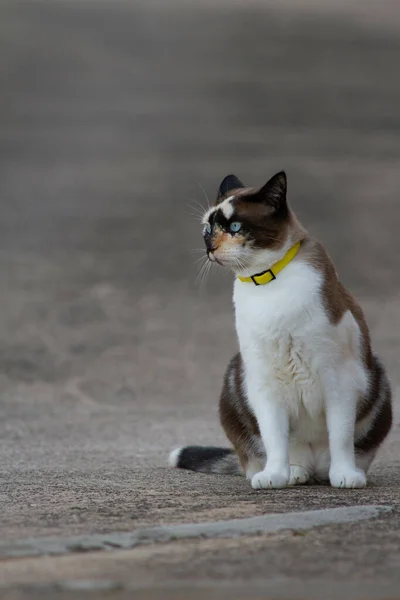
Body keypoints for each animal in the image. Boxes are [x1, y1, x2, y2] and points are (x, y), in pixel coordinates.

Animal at [168, 170, 390, 488]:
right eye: (207, 229)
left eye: (235, 227)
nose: (210, 247)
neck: (267, 284)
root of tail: (315, 467)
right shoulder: (263, 382)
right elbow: (274, 436)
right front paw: (274, 476)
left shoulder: (340, 380)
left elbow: (341, 436)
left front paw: (345, 476)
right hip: (236, 373)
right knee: (280, 452)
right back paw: (293, 473)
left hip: (377, 377)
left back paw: (338, 473)